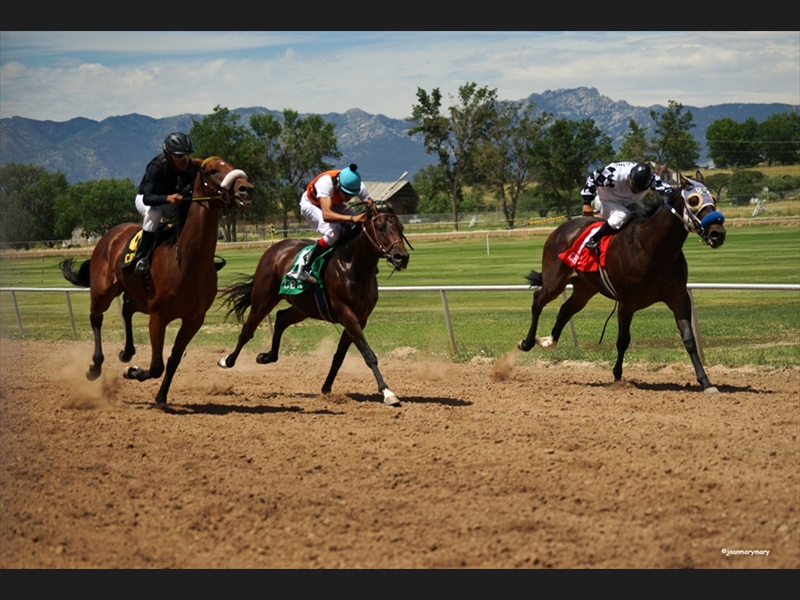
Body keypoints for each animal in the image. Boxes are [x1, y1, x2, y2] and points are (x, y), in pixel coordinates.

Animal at [59, 157, 253, 406]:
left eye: (229, 164)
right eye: (213, 170)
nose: (246, 188)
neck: (188, 262)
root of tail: (110, 235)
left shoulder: (194, 319)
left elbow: (173, 360)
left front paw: (161, 396)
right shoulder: (159, 316)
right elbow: (156, 366)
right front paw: (131, 372)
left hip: (139, 297)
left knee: (127, 308)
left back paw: (126, 352)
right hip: (103, 290)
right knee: (96, 318)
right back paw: (95, 366)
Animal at [216, 204, 410, 406]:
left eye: (401, 228)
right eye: (381, 228)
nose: (401, 257)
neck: (353, 266)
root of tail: (274, 248)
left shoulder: (360, 318)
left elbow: (339, 356)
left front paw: (326, 388)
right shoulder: (346, 314)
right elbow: (368, 354)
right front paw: (387, 392)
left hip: (302, 307)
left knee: (281, 319)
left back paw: (267, 356)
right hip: (263, 300)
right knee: (247, 330)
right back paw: (227, 361)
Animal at [516, 170, 728, 394]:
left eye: (713, 199)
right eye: (694, 200)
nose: (718, 233)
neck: (652, 247)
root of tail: (560, 229)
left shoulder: (678, 296)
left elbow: (689, 339)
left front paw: (706, 382)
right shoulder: (627, 302)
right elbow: (623, 340)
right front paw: (617, 377)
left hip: (585, 288)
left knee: (566, 310)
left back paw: (549, 341)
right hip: (555, 281)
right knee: (538, 299)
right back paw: (527, 342)